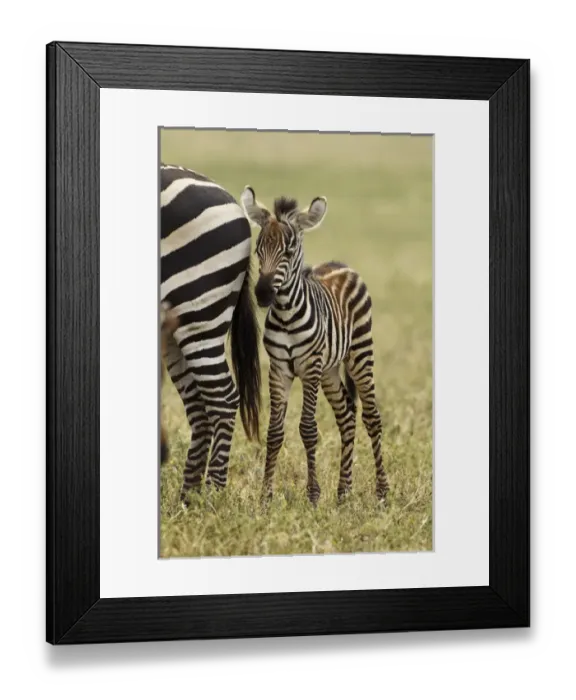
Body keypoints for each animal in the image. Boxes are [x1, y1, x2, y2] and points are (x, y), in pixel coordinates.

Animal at [160, 163, 262, 501]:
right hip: (175, 326)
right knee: (199, 405)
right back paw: (187, 499)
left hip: (199, 312)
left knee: (223, 399)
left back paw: (212, 497)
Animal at [240, 185, 389, 507]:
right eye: (258, 250)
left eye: (289, 251)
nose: (263, 293)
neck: (286, 314)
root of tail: (341, 264)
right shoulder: (279, 369)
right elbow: (274, 432)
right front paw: (265, 497)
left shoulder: (309, 367)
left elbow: (308, 429)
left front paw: (313, 495)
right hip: (330, 370)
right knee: (347, 416)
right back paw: (343, 492)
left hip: (360, 354)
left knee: (371, 417)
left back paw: (382, 492)